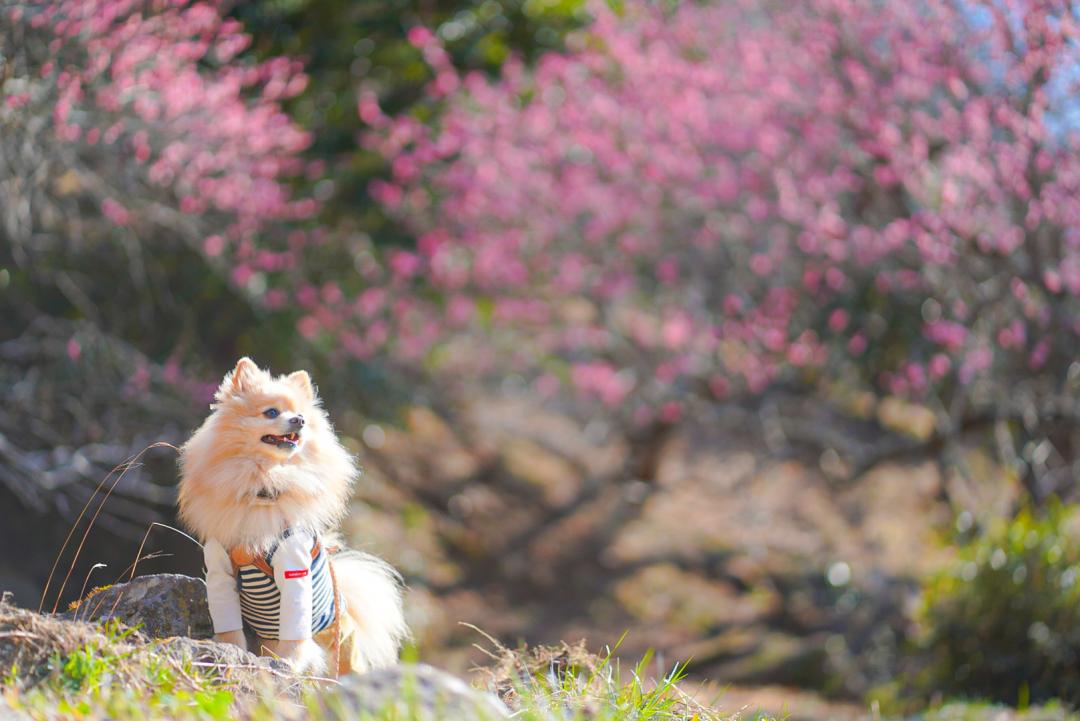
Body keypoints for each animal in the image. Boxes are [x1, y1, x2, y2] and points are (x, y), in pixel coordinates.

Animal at [179, 358, 406, 677]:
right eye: (271, 412)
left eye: (302, 417)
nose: (298, 420)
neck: (263, 489)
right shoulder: (219, 569)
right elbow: (229, 627)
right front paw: (230, 651)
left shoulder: (294, 568)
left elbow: (295, 633)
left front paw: (287, 664)